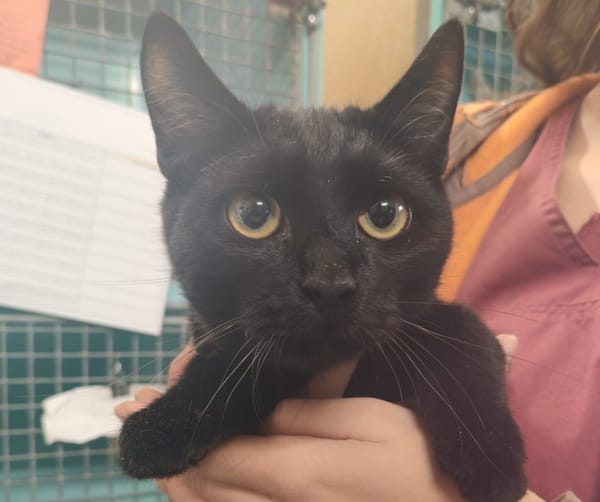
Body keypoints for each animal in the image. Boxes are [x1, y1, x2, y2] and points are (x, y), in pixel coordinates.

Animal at [119, 12, 527, 502]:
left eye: (385, 214)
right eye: (253, 214)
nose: (330, 283)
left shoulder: (430, 316)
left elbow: (466, 326)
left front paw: (490, 453)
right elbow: (240, 361)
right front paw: (167, 422)